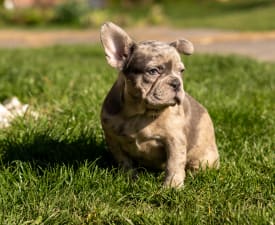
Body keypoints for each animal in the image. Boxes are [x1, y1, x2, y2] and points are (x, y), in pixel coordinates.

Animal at [101, 22, 220, 188]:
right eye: (153, 71)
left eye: (181, 71)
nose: (176, 82)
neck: (140, 113)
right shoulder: (113, 140)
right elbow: (125, 162)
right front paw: (130, 179)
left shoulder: (174, 141)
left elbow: (174, 164)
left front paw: (172, 187)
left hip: (205, 156)